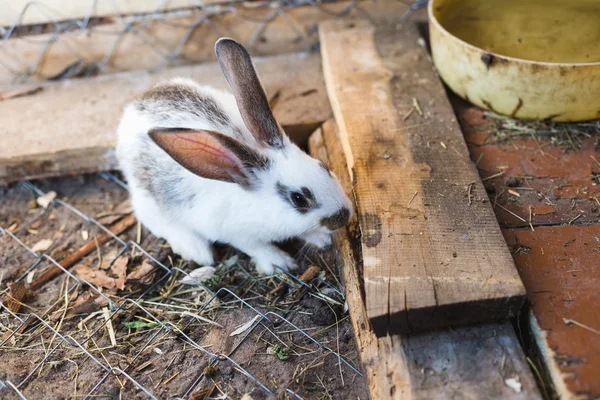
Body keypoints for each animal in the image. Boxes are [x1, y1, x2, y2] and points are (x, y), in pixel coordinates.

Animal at [115, 37, 354, 276]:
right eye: (299, 199)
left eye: (323, 166)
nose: (344, 215)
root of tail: (132, 109)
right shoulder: (235, 234)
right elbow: (256, 247)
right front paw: (280, 262)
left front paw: (320, 238)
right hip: (150, 200)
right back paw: (197, 250)